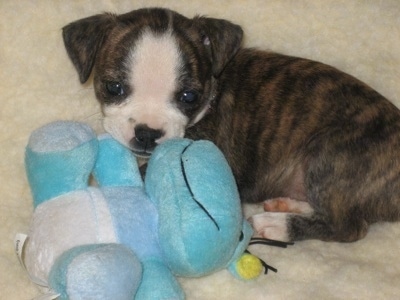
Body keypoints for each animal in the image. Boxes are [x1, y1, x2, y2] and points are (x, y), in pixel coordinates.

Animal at [61, 7, 400, 241]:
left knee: (349, 226)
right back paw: (289, 204)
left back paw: (278, 225)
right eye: (114, 88)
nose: (147, 133)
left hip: (332, 155)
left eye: (189, 96)